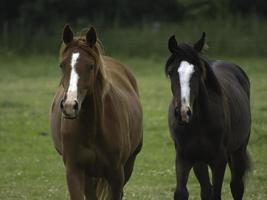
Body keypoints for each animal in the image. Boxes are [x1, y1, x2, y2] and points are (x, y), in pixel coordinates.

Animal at [49, 25, 143, 200]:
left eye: (90, 66)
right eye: (62, 65)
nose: (70, 106)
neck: (92, 129)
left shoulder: (116, 174)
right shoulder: (74, 171)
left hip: (128, 164)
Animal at [166, 33, 252, 200]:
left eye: (196, 72)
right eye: (172, 72)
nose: (183, 113)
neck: (198, 123)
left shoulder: (219, 159)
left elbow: (216, 193)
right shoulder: (184, 157)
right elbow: (182, 192)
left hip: (239, 150)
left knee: (237, 186)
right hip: (200, 160)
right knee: (206, 189)